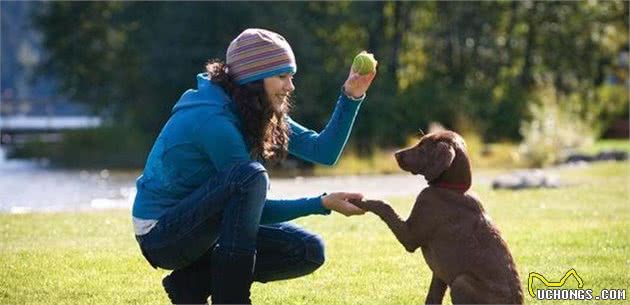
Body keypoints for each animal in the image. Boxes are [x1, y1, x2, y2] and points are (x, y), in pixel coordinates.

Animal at [354, 129, 524, 302]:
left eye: (422, 146)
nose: (396, 154)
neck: (451, 188)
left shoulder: (410, 236)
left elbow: (384, 205)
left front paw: (360, 201)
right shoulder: (439, 274)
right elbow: (432, 297)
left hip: (460, 282)